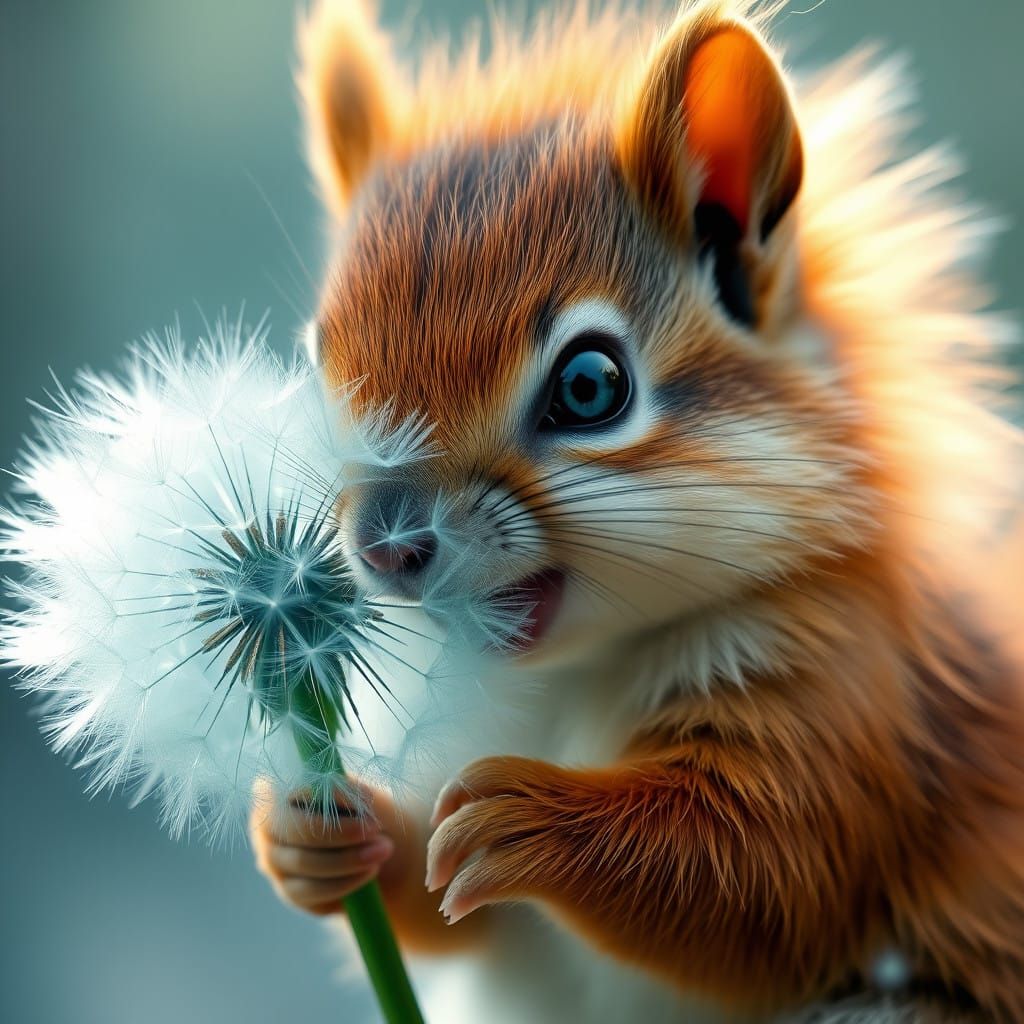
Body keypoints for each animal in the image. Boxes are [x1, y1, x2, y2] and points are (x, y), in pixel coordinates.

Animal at [250, 1, 1024, 1021]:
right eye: (315, 374)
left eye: (590, 387)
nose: (386, 547)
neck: (565, 680)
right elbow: (457, 920)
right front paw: (316, 833)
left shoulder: (856, 698)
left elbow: (759, 876)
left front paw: (522, 820)